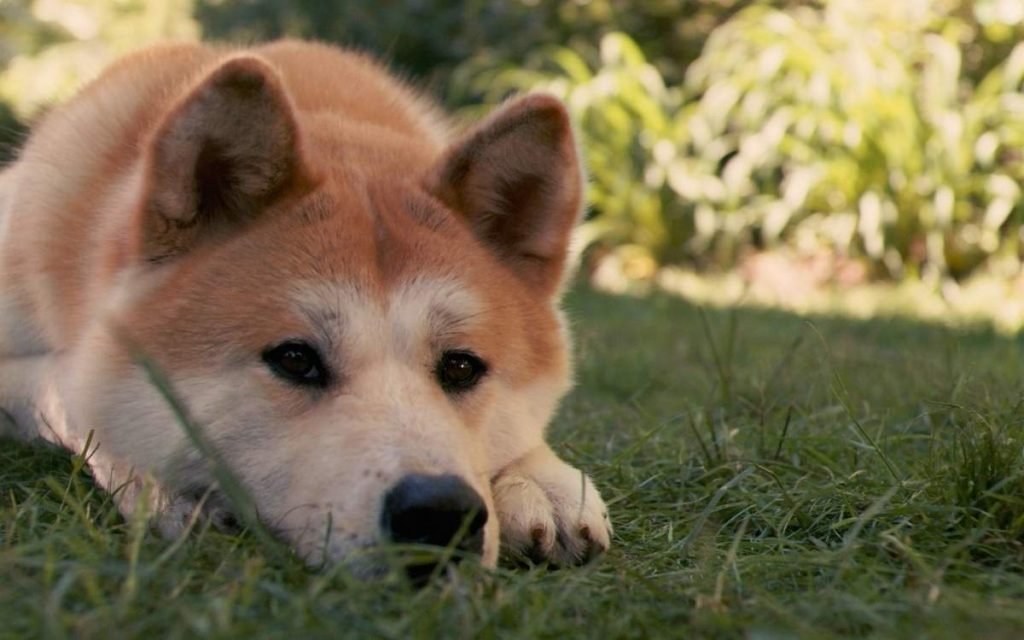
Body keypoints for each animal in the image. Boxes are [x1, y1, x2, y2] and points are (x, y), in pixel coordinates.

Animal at [0, 39, 606, 573]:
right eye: (294, 359)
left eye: (461, 366)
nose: (439, 513)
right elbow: (71, 395)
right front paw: (160, 484)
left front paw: (539, 480)